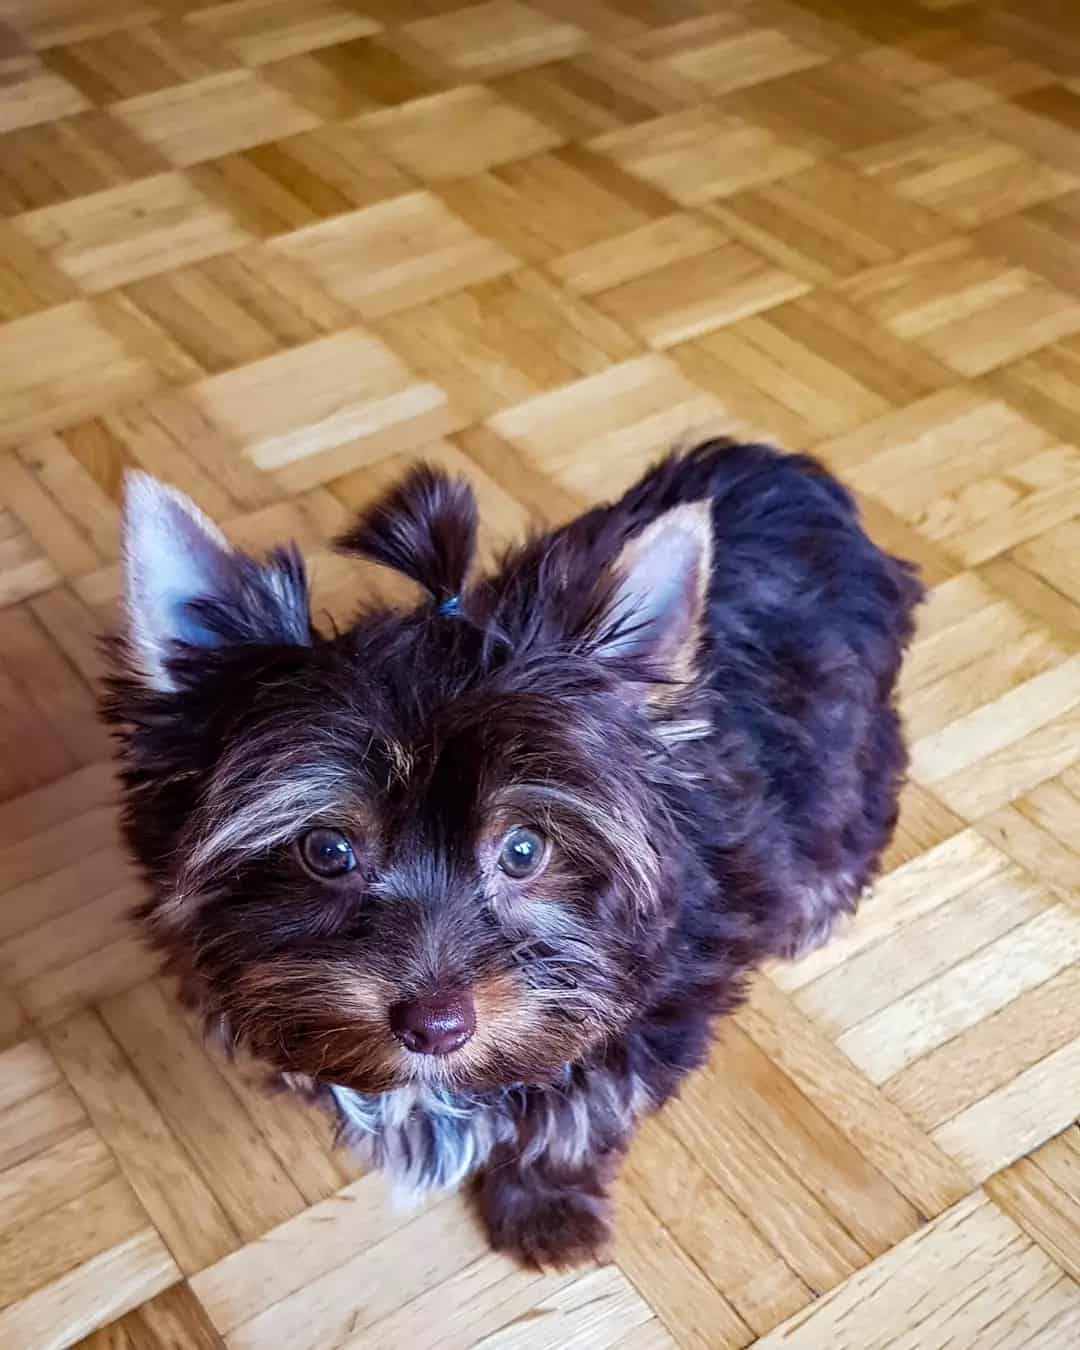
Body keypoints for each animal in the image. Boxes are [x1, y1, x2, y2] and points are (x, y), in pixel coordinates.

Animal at [105, 440, 923, 1263]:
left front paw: (544, 1208)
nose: (435, 1025)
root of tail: (785, 470)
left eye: (525, 849)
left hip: (846, 729)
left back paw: (813, 910)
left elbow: (583, 1106)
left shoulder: (651, 1000)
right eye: (327, 849)